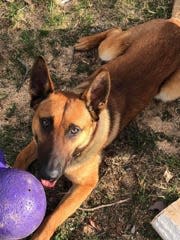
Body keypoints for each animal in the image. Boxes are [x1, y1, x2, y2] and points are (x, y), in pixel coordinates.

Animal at [13, 17, 179, 239]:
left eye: (74, 130)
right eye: (45, 122)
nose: (49, 175)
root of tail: (174, 23)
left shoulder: (86, 184)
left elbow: (52, 218)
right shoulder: (36, 143)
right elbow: (19, 159)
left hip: (169, 91)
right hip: (109, 50)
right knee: (114, 31)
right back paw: (87, 42)